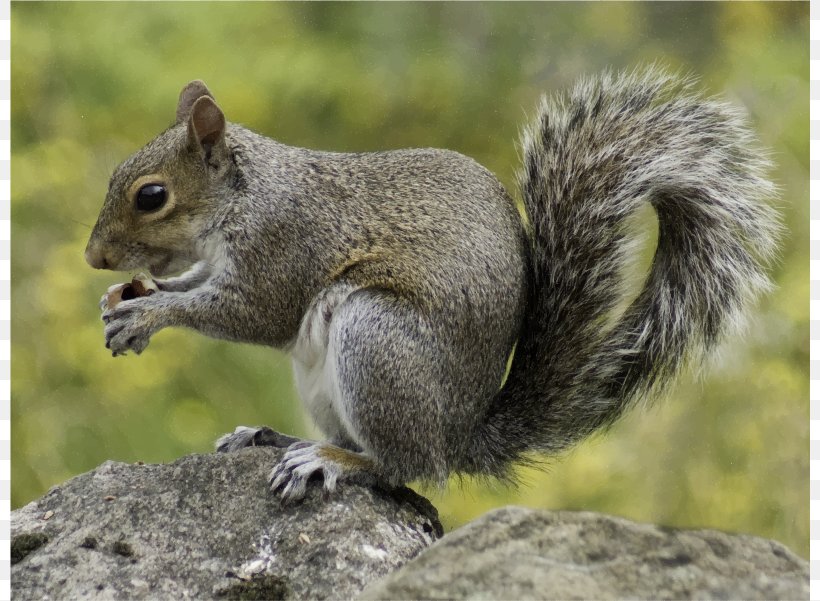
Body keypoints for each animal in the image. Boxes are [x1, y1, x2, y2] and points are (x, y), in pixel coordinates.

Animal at [86, 69, 780, 502]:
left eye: (151, 195)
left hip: (377, 340)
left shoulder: (285, 247)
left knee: (404, 468)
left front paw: (147, 314)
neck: (245, 194)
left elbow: (251, 312)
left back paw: (330, 461)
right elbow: (198, 282)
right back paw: (276, 438)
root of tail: (459, 435)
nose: (94, 257)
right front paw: (130, 297)